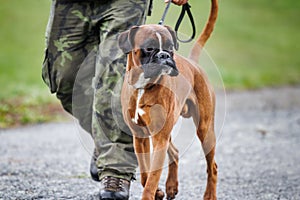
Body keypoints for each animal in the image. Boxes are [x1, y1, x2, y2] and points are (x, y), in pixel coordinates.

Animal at [118, 0, 219, 199]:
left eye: (170, 47)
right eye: (149, 48)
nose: (164, 55)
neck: (143, 86)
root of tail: (194, 64)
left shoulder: (159, 138)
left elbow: (152, 176)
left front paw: (151, 193)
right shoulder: (140, 137)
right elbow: (145, 173)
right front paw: (158, 191)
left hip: (205, 130)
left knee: (213, 166)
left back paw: (210, 195)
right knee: (175, 152)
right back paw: (172, 185)